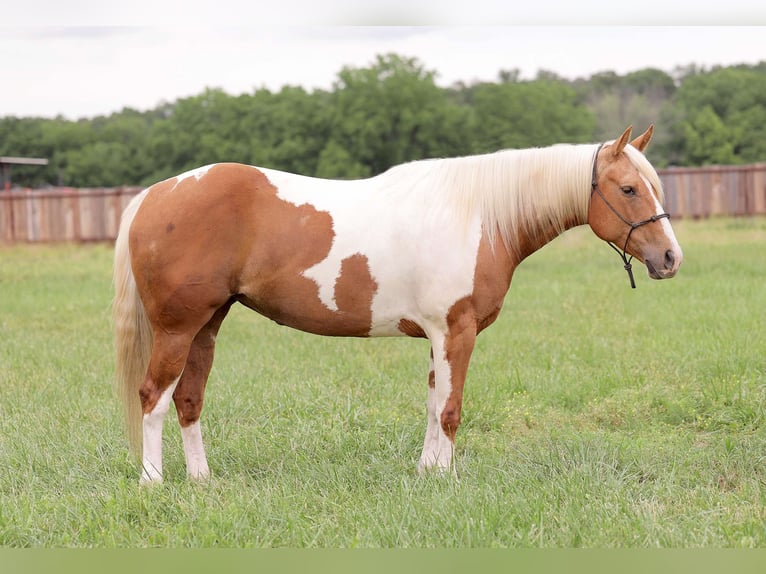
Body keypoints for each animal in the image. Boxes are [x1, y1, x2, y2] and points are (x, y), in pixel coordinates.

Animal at [113, 125, 682, 484]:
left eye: (653, 186)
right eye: (628, 189)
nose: (671, 258)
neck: (477, 215)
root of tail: (155, 196)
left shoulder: (438, 335)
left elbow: (433, 404)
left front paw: (427, 472)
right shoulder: (456, 331)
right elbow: (451, 409)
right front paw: (447, 477)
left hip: (206, 326)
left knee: (188, 400)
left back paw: (202, 480)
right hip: (177, 329)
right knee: (153, 398)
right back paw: (153, 483)